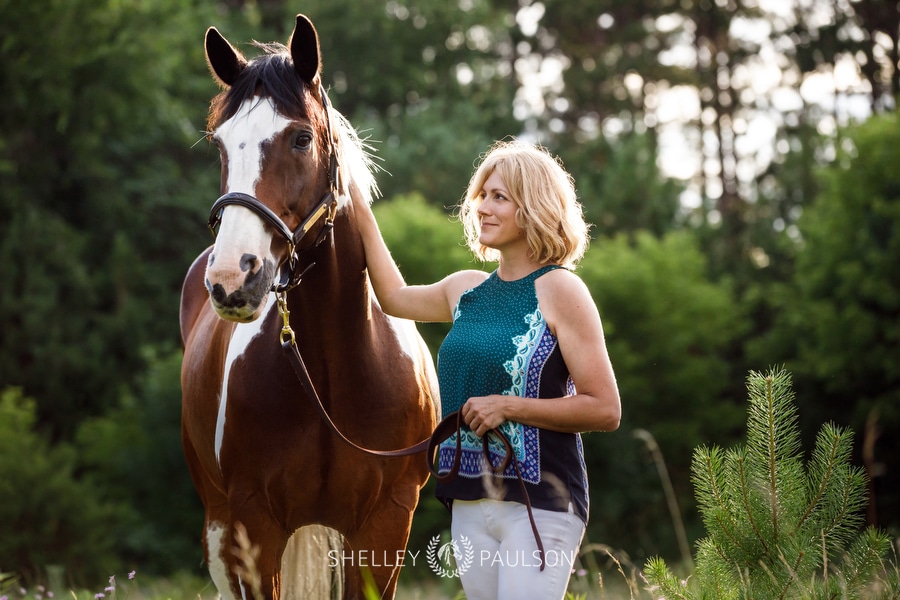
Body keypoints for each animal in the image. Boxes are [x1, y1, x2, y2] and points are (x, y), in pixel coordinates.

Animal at [179, 15, 440, 600]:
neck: (330, 370)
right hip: (217, 521)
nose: (232, 278)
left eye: (301, 138)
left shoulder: (385, 524)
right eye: (220, 144)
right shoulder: (254, 523)